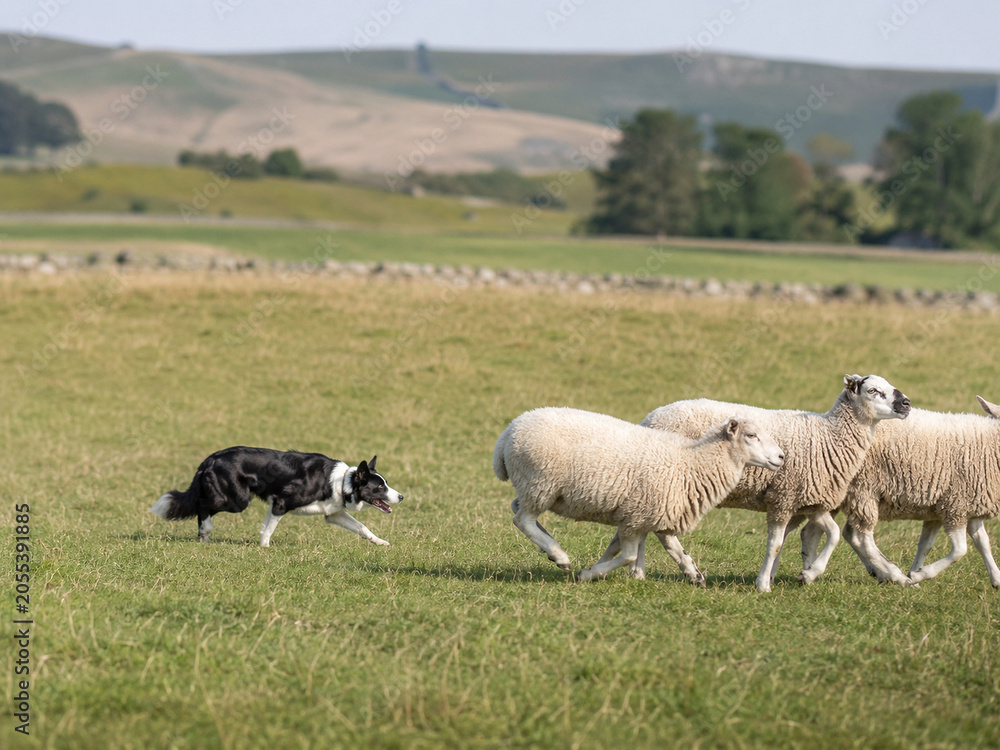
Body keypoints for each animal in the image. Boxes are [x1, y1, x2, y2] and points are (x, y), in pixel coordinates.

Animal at [493, 407, 785, 581]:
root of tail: (508, 432)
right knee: (522, 520)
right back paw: (560, 555)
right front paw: (590, 573)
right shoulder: (637, 515)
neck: (693, 462)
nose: (782, 457)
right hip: (541, 482)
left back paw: (550, 548)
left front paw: (693, 574)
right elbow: (630, 554)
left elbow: (671, 547)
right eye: (751, 435)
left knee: (517, 508)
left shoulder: (652, 512)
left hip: (537, 487)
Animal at [625, 375, 911, 591]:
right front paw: (763, 584)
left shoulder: (811, 501)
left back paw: (640, 572)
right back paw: (685, 570)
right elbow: (775, 544)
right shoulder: (784, 497)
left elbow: (834, 534)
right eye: (873, 390)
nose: (906, 403)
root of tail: (650, 418)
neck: (829, 436)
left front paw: (809, 573)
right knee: (662, 532)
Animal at [838, 395, 1000, 588]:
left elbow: (977, 542)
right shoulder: (956, 505)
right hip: (864, 489)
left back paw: (879, 572)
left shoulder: (957, 506)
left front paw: (996, 579)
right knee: (860, 537)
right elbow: (960, 550)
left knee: (848, 533)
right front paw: (919, 575)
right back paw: (894, 574)